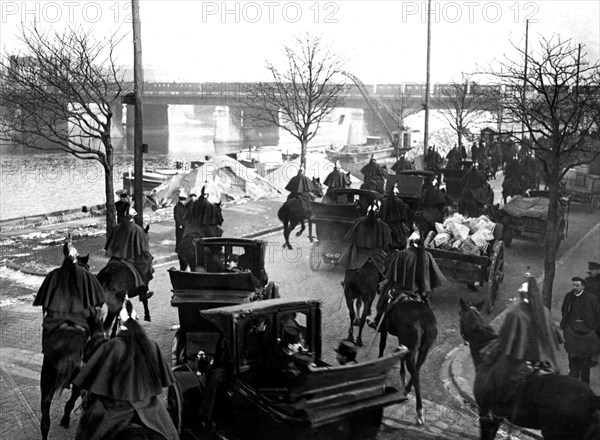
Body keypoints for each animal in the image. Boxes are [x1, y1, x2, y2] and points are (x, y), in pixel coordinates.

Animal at [376, 282, 436, 426]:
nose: (379, 286)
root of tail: (424, 322)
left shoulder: (384, 328)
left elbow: (382, 345)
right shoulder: (402, 340)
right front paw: (402, 376)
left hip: (412, 348)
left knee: (416, 375)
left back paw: (419, 411)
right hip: (423, 350)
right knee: (417, 370)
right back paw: (406, 390)